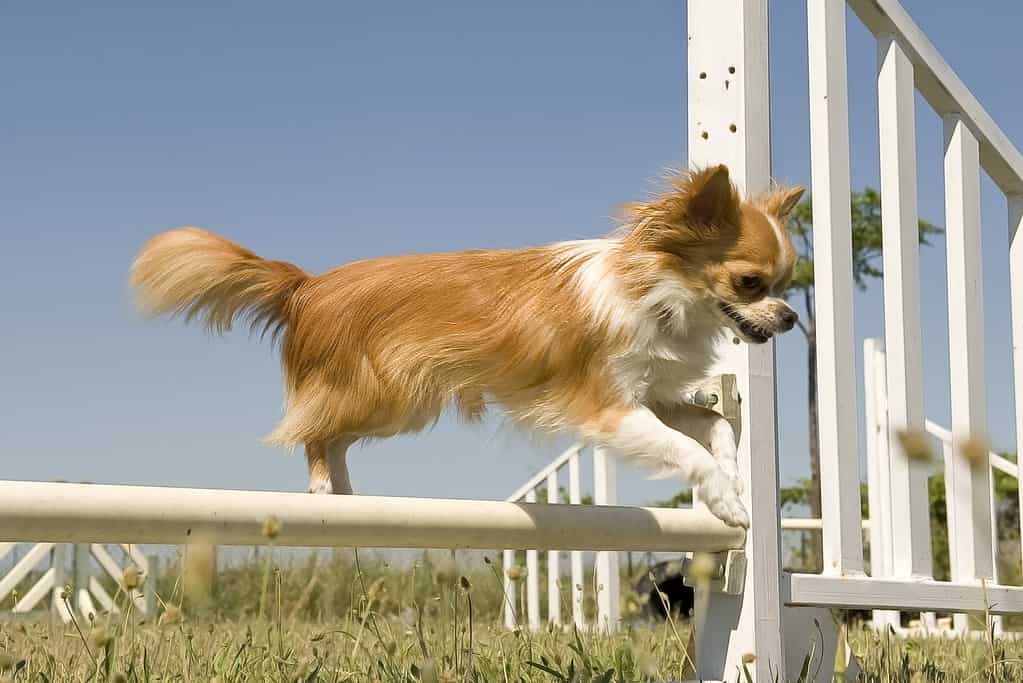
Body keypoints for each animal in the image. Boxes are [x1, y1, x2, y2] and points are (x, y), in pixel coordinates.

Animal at [134, 165, 806, 527]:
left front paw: (733, 480)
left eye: (786, 283)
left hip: (392, 405)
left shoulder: (651, 394)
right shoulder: (607, 409)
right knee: (312, 433)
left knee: (330, 433)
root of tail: (307, 285)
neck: (658, 291)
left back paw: (347, 494)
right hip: (386, 396)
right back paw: (324, 489)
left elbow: (713, 425)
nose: (791, 316)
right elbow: (685, 449)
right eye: (751, 283)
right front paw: (727, 502)